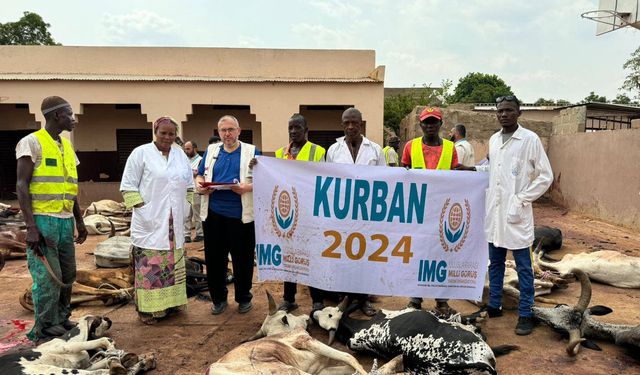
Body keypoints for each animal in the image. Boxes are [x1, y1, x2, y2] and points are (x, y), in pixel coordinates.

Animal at [0, 316, 155, 374]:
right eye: (101, 319)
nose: (109, 320)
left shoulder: (87, 365)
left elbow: (106, 360)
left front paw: (119, 357)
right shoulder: (64, 347)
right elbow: (99, 341)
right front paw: (111, 346)